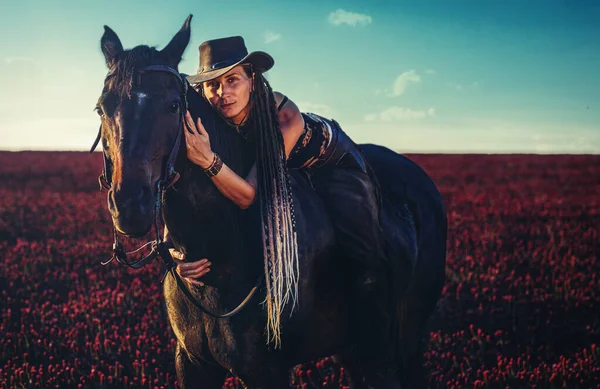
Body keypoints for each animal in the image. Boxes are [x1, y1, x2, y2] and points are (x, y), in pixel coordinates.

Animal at [94, 15, 446, 388]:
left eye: (173, 106)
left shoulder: (267, 370)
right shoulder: (192, 362)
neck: (219, 253)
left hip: (404, 333)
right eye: (102, 108)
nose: (130, 205)